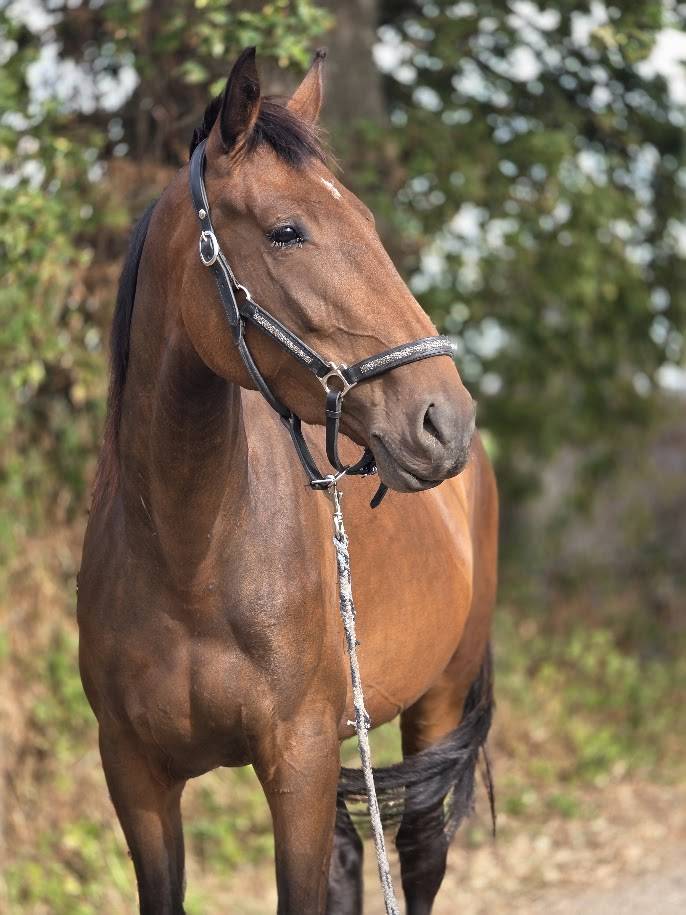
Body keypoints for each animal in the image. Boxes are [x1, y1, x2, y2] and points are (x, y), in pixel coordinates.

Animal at [77, 47, 498, 915]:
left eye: (366, 222)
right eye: (286, 231)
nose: (444, 419)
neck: (189, 556)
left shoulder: (298, 762)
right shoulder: (135, 775)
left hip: (437, 705)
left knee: (420, 854)